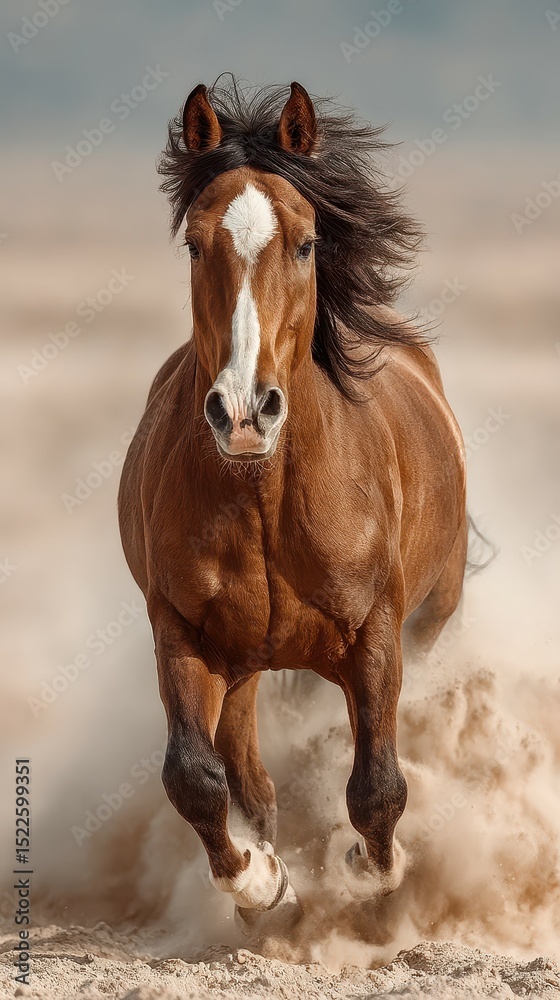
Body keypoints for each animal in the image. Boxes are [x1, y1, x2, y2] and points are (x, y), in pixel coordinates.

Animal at [118, 79, 467, 926]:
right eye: (194, 244)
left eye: (307, 243)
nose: (245, 412)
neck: (266, 497)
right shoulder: (181, 632)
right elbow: (196, 778)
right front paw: (261, 881)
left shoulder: (377, 634)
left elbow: (377, 785)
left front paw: (366, 872)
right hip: (242, 665)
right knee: (248, 775)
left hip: (431, 618)